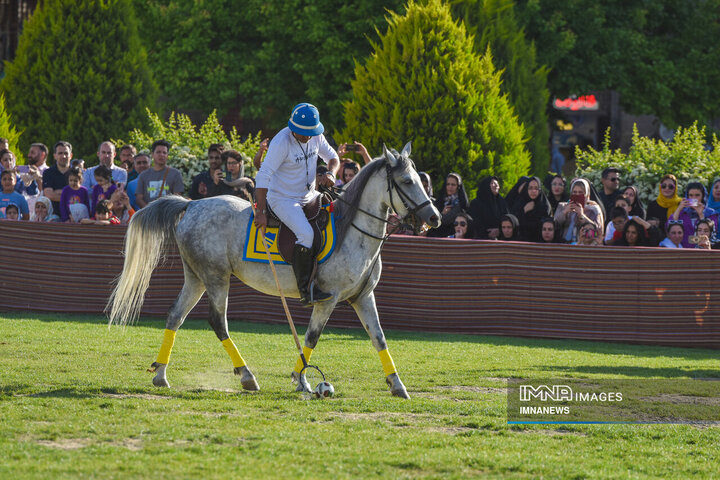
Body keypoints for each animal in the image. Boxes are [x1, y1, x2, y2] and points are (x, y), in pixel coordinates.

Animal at [106, 142, 438, 398]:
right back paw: (247, 376)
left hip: (196, 277)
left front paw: (397, 385)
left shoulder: (363, 297)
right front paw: (303, 380)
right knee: (218, 322)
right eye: (407, 182)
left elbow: (379, 338)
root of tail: (192, 204)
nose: (434, 217)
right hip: (216, 277)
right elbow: (311, 338)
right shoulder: (327, 299)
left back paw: (160, 375)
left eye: (420, 180)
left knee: (175, 316)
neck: (353, 230)